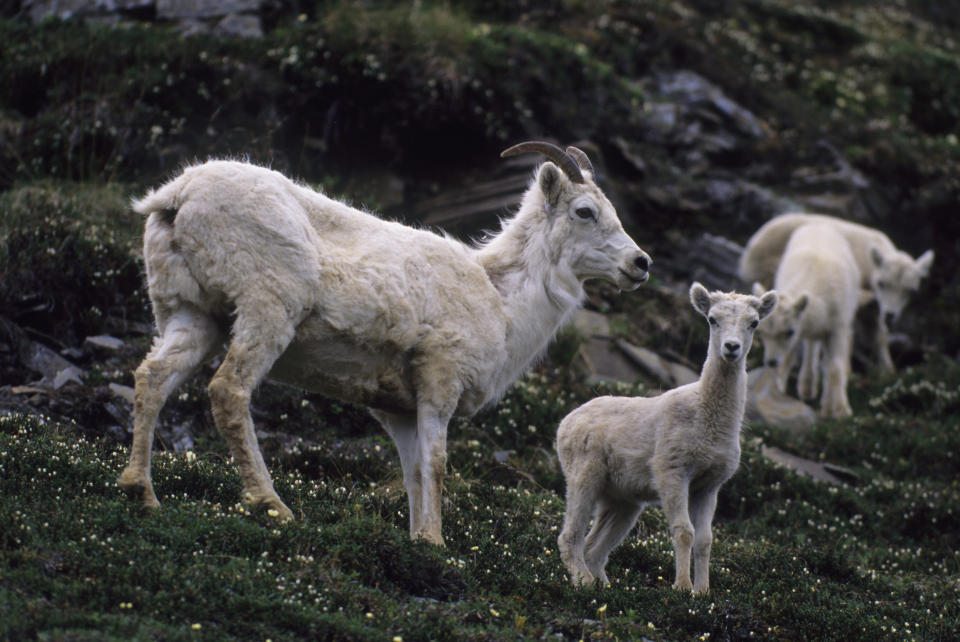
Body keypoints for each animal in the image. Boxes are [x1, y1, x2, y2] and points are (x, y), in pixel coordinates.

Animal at [116, 141, 648, 544]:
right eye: (585, 211)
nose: (640, 264)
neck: (501, 300)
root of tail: (177, 195)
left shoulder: (399, 411)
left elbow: (413, 473)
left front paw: (417, 540)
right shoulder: (439, 382)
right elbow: (437, 464)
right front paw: (435, 543)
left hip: (192, 316)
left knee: (152, 378)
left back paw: (140, 492)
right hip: (266, 313)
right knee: (228, 391)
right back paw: (273, 506)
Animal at [556, 282, 772, 592]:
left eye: (754, 323)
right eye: (712, 319)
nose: (731, 347)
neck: (707, 418)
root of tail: (564, 423)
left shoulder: (709, 485)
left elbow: (705, 540)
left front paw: (702, 592)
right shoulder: (672, 470)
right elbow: (684, 532)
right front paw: (681, 587)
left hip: (623, 500)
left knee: (594, 547)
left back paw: (603, 585)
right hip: (583, 474)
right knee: (570, 535)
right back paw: (582, 581)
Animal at [740, 211, 932, 370]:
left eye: (911, 291)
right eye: (882, 283)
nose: (891, 314)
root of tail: (753, 243)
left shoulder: (873, 308)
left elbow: (879, 335)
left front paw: (887, 371)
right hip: (768, 272)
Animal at [752, 222, 864, 418]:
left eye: (789, 331)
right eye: (761, 332)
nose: (771, 362)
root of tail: (820, 224)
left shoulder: (837, 329)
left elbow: (834, 368)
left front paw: (841, 411)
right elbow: (788, 359)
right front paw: (780, 389)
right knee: (812, 347)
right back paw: (807, 389)